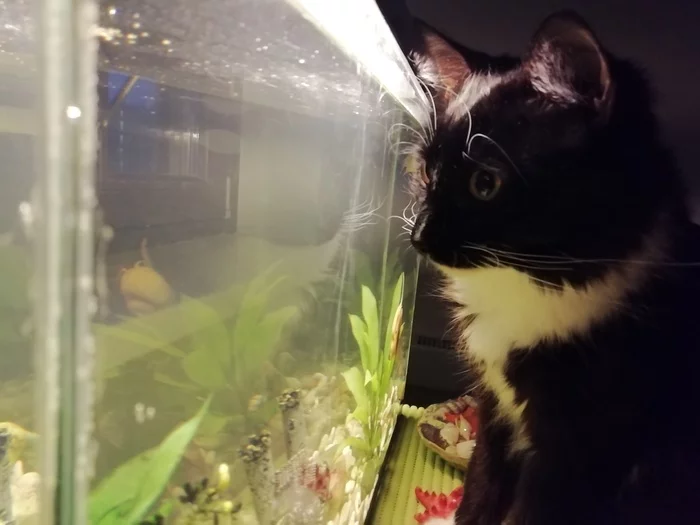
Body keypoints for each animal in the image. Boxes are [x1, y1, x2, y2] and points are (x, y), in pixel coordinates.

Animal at [380, 4, 700, 524]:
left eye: (485, 184)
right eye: (427, 172)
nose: (419, 236)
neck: (529, 286)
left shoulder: (578, 453)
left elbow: (529, 511)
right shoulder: (496, 412)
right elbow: (481, 486)